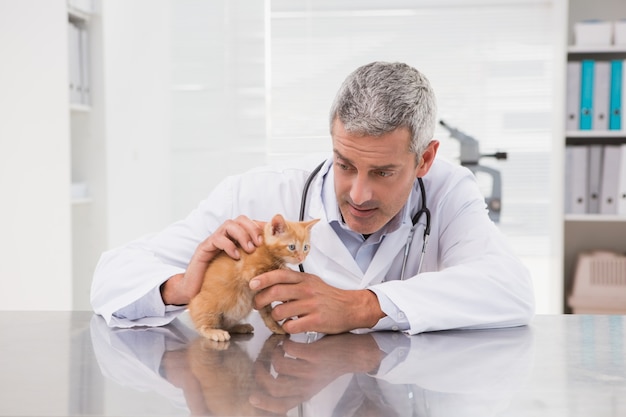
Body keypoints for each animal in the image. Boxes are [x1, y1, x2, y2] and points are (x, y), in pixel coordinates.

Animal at [188, 214, 316, 342]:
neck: (266, 249)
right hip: (208, 305)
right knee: (203, 325)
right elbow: (274, 269)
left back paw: (240, 327)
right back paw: (214, 331)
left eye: (305, 248)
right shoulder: (250, 273)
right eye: (292, 247)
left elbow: (267, 313)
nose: (301, 258)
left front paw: (277, 328)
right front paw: (285, 269)